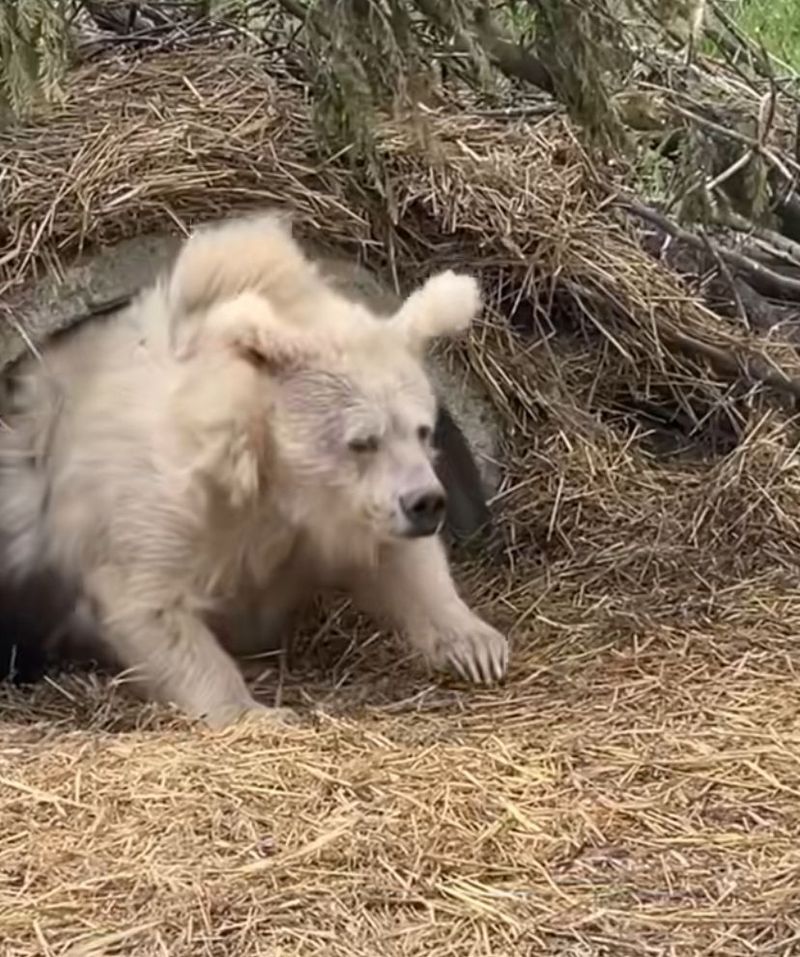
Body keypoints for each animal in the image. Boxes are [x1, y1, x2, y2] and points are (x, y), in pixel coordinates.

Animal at [0, 211, 509, 728]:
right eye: (363, 440)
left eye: (423, 430)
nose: (427, 502)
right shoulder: (163, 507)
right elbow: (149, 602)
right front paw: (255, 711)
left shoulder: (335, 518)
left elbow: (402, 562)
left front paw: (479, 646)